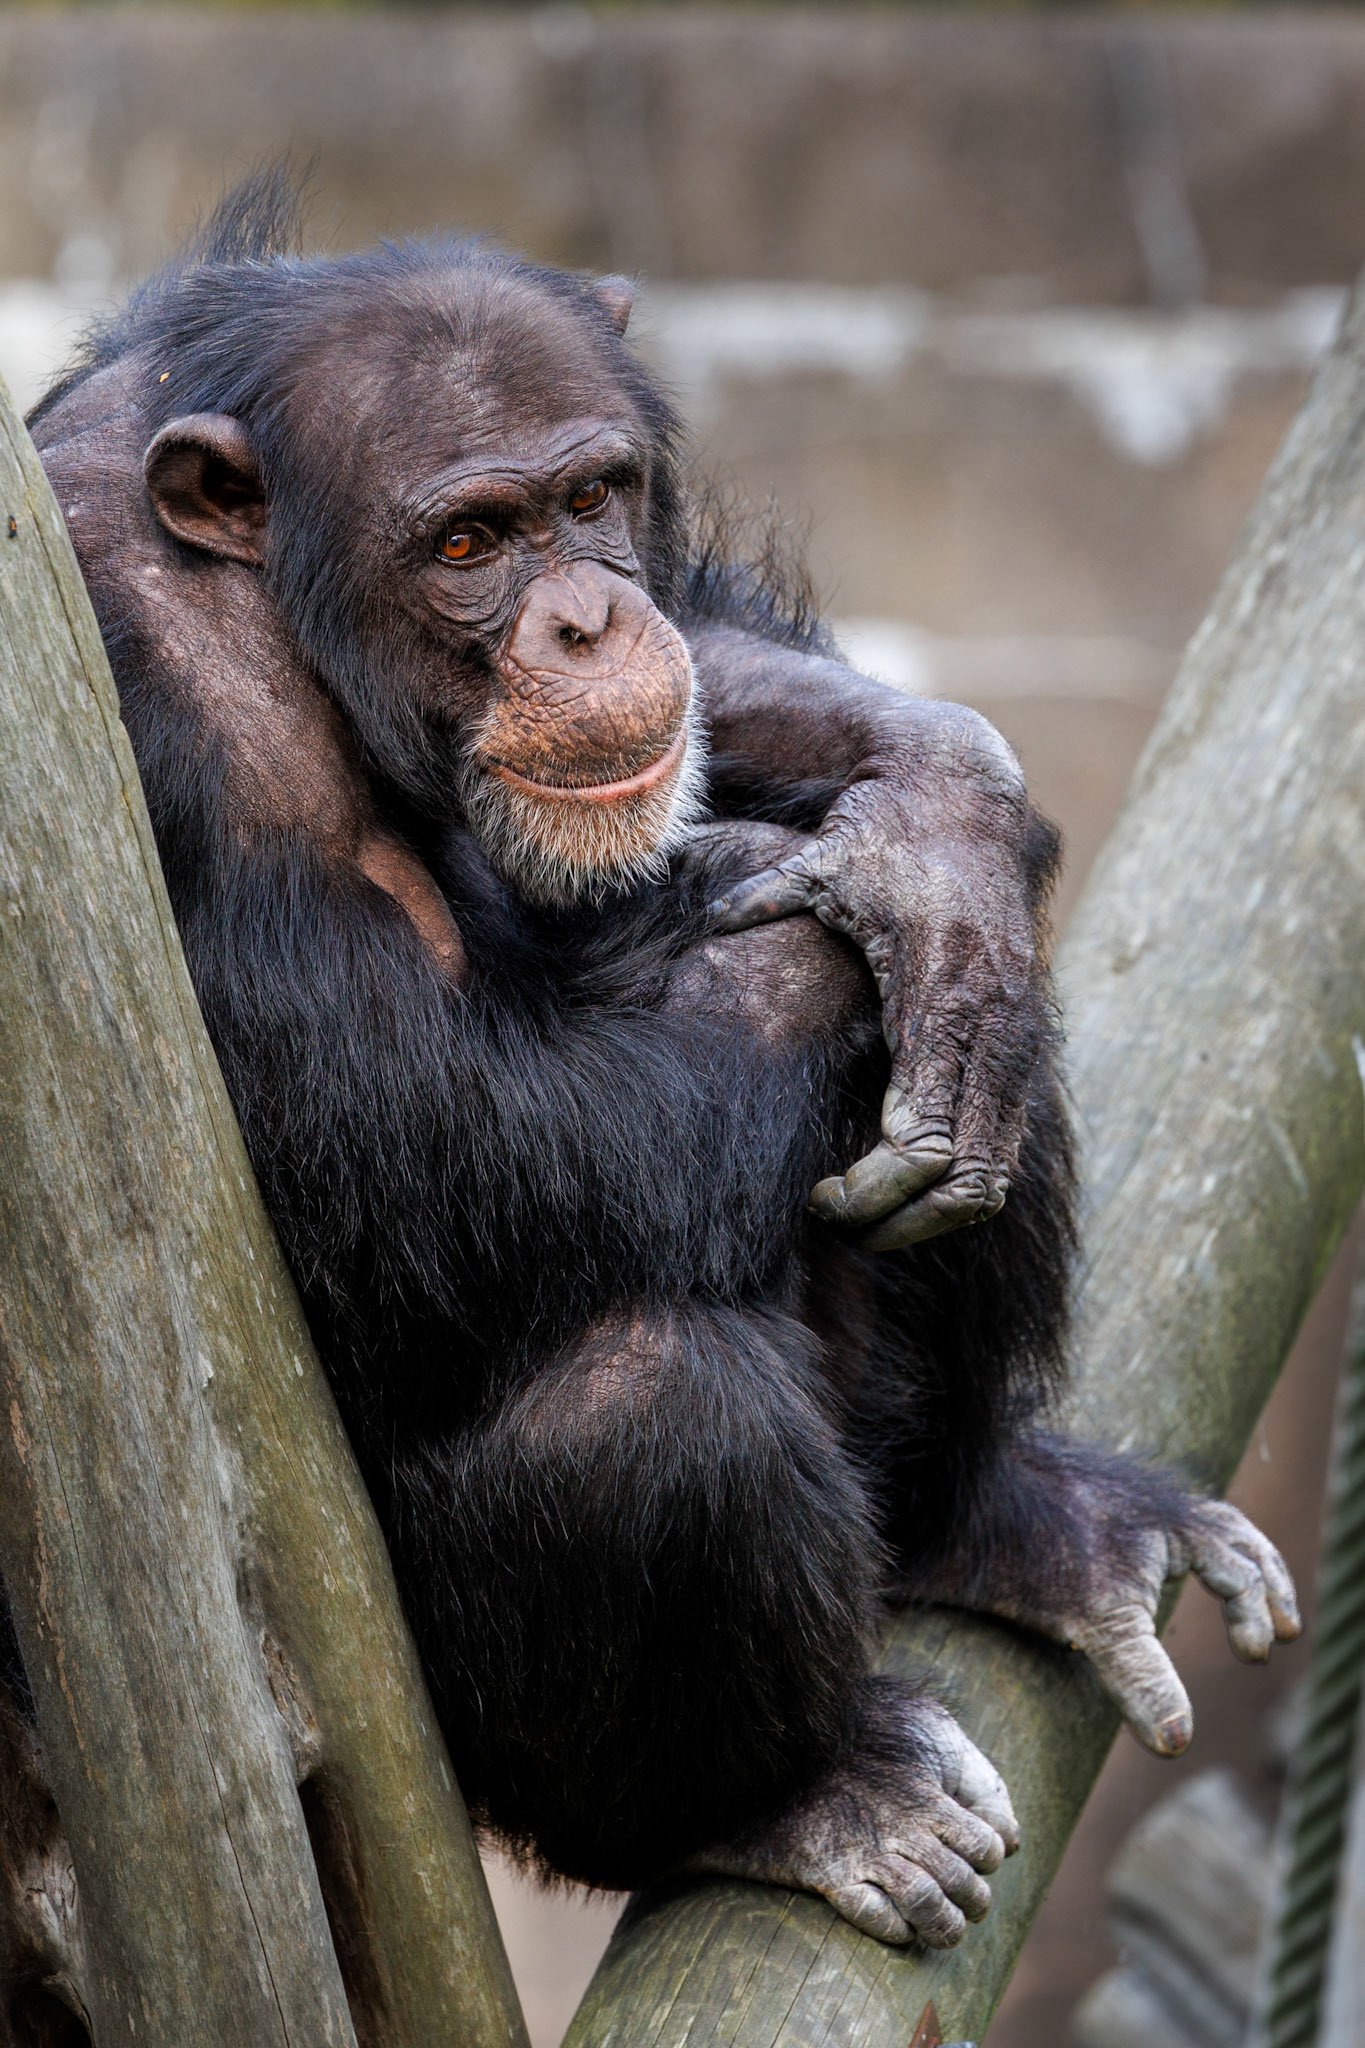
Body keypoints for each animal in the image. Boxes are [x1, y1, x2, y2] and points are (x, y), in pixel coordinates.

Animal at [16, 175, 1298, 1949]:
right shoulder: (166, 705)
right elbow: (427, 1135)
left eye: (589, 498)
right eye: (468, 545)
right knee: (651, 1412)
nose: (584, 616)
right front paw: (862, 912)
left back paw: (1017, 1524)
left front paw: (941, 830)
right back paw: (798, 1799)